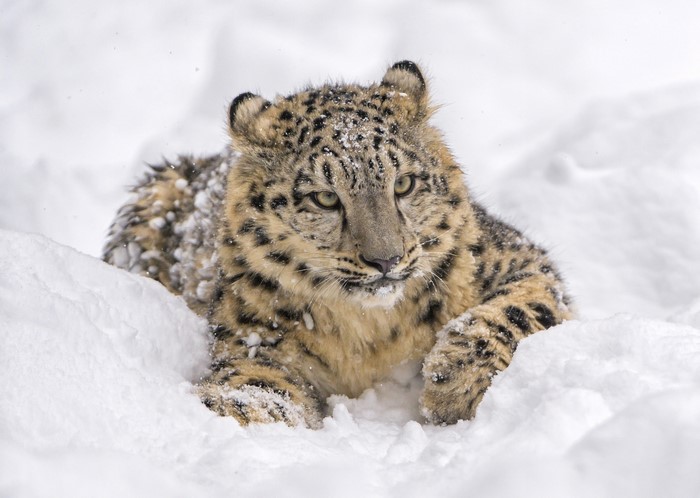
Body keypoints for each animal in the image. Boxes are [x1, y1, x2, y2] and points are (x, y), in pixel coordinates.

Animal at [103, 61, 573, 428]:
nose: (386, 259)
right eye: (325, 198)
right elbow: (255, 381)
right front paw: (230, 407)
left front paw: (452, 381)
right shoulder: (253, 338)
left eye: (404, 183)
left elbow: (520, 308)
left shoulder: (516, 259)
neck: (371, 335)